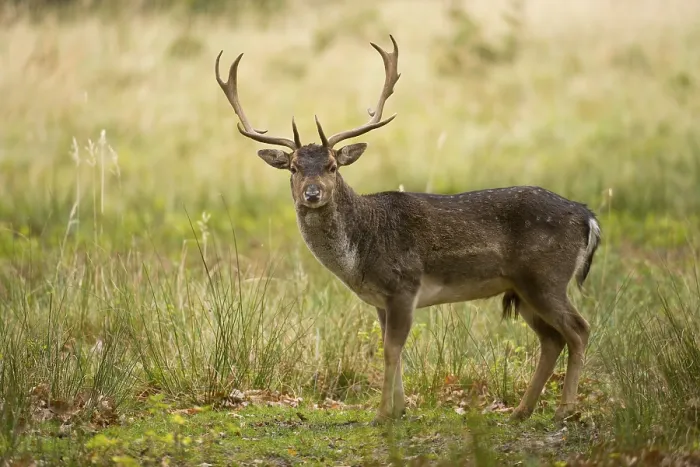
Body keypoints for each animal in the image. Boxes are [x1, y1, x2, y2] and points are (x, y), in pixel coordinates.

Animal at [214, 35, 601, 422]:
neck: (360, 253)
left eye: (332, 166)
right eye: (293, 168)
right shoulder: (380, 299)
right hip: (521, 288)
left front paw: (383, 413)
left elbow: (390, 349)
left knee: (579, 329)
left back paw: (564, 410)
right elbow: (391, 348)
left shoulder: (404, 284)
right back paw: (521, 411)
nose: (312, 193)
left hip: (545, 276)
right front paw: (399, 409)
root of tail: (587, 216)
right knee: (552, 338)